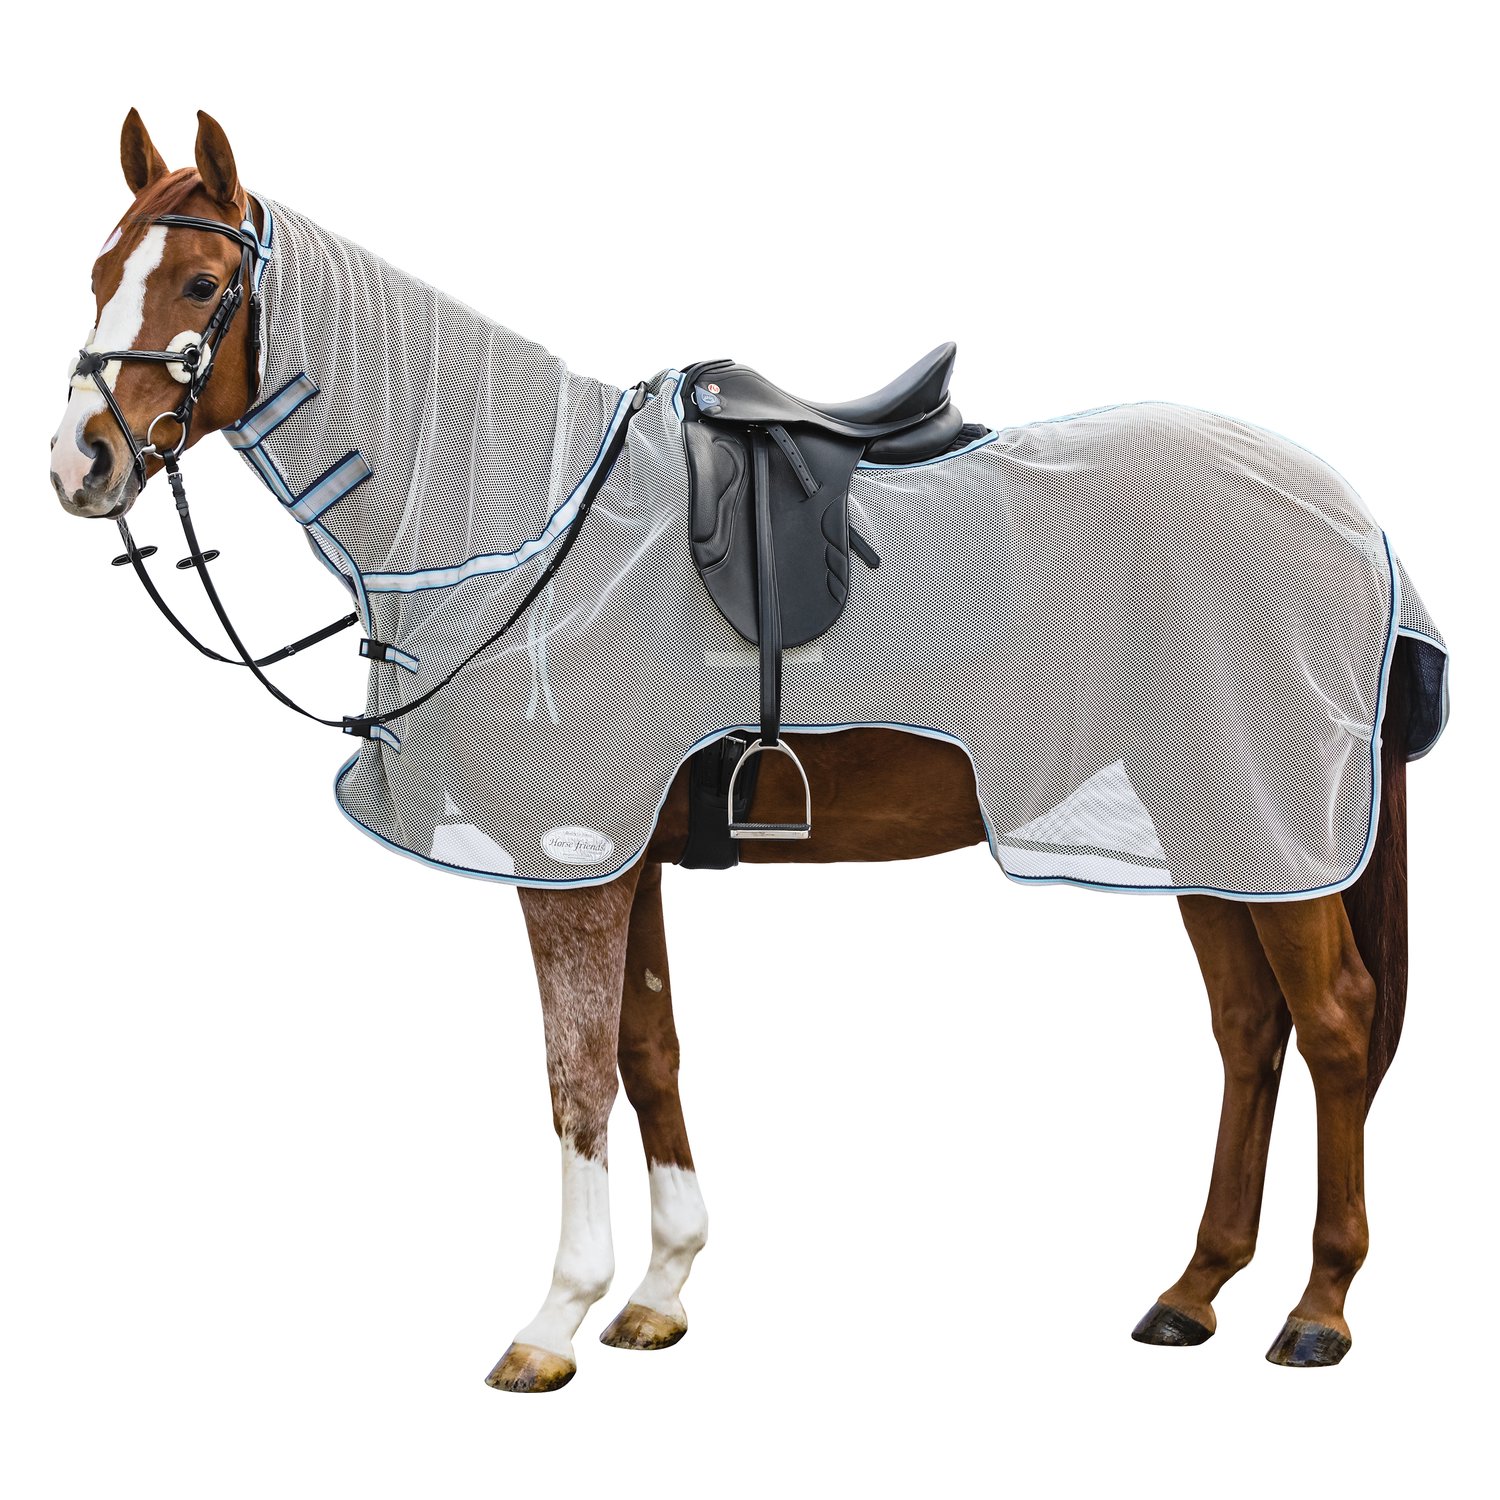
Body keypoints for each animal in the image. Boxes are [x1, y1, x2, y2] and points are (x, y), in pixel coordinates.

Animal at [50, 110, 1448, 1390]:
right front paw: (660, 1292)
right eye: (99, 267)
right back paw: (1194, 1290)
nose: (81, 461)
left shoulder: (566, 859)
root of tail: (1351, 520)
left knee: (1332, 1026)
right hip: (1209, 828)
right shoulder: (623, 853)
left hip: (1269, 831)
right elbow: (648, 1053)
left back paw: (1318, 1309)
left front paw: (553, 1321)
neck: (523, 517)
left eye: (202, 284)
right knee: (1249, 1031)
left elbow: (575, 1079)